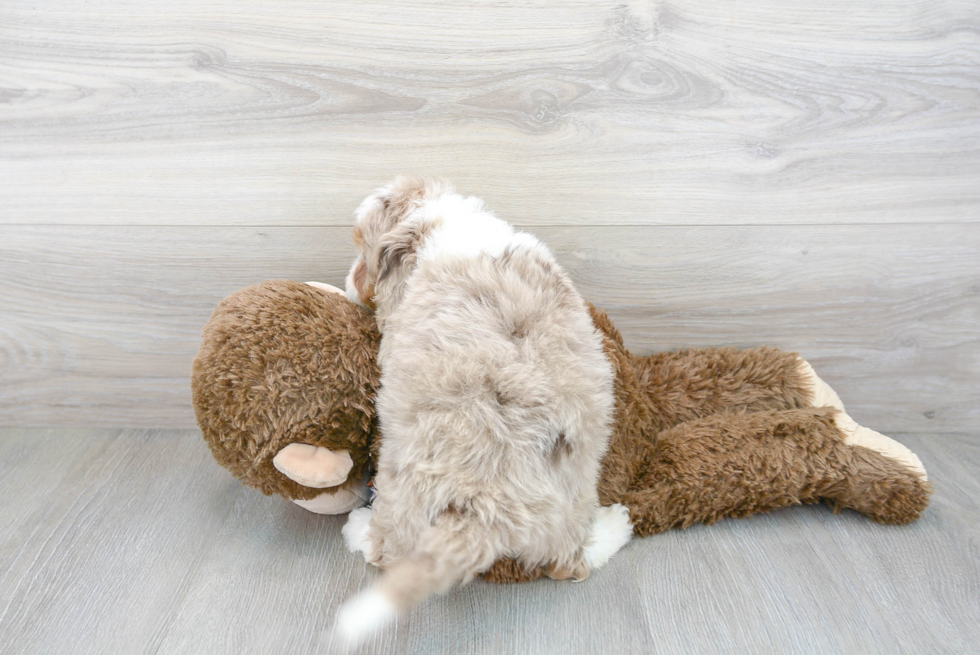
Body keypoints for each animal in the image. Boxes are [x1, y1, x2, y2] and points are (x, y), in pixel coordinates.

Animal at [334, 177, 632, 644]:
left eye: (360, 243)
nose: (348, 282)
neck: (437, 222)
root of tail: (484, 508)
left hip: (398, 490)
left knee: (388, 550)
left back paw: (358, 529)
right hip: (574, 495)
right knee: (571, 559)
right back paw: (615, 526)